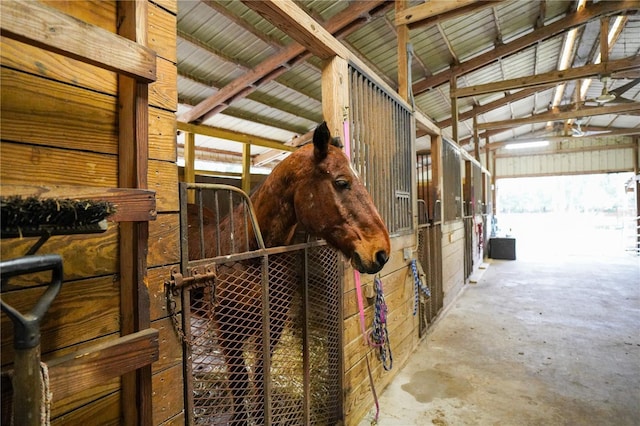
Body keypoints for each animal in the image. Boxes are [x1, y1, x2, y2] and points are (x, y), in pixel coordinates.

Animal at [186, 121, 390, 424]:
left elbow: (261, 378)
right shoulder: (228, 332)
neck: (250, 252)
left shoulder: (272, 326)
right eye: (341, 182)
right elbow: (239, 381)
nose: (381, 252)